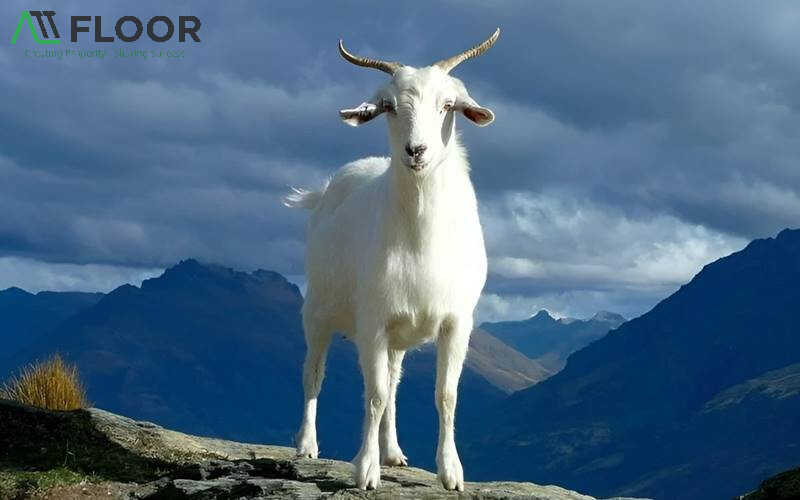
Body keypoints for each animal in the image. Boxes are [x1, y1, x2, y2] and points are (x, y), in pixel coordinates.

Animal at [285, 29, 499, 491]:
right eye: (390, 107)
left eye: (447, 105)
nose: (416, 150)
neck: (421, 240)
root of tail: (324, 191)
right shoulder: (373, 322)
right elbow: (375, 395)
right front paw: (366, 470)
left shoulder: (456, 322)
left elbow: (445, 395)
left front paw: (451, 472)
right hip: (318, 311)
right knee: (314, 372)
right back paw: (307, 445)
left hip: (399, 335)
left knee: (395, 382)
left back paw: (393, 452)